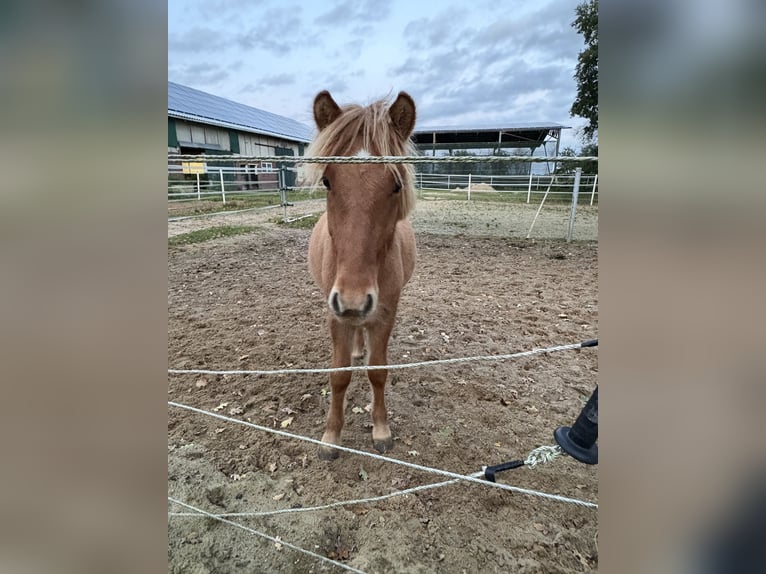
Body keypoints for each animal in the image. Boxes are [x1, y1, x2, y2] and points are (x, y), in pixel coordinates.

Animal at [306, 90, 418, 460]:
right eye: (328, 180)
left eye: (396, 185)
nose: (354, 299)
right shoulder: (335, 314)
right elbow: (339, 375)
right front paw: (331, 436)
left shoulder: (384, 314)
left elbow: (378, 371)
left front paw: (381, 430)